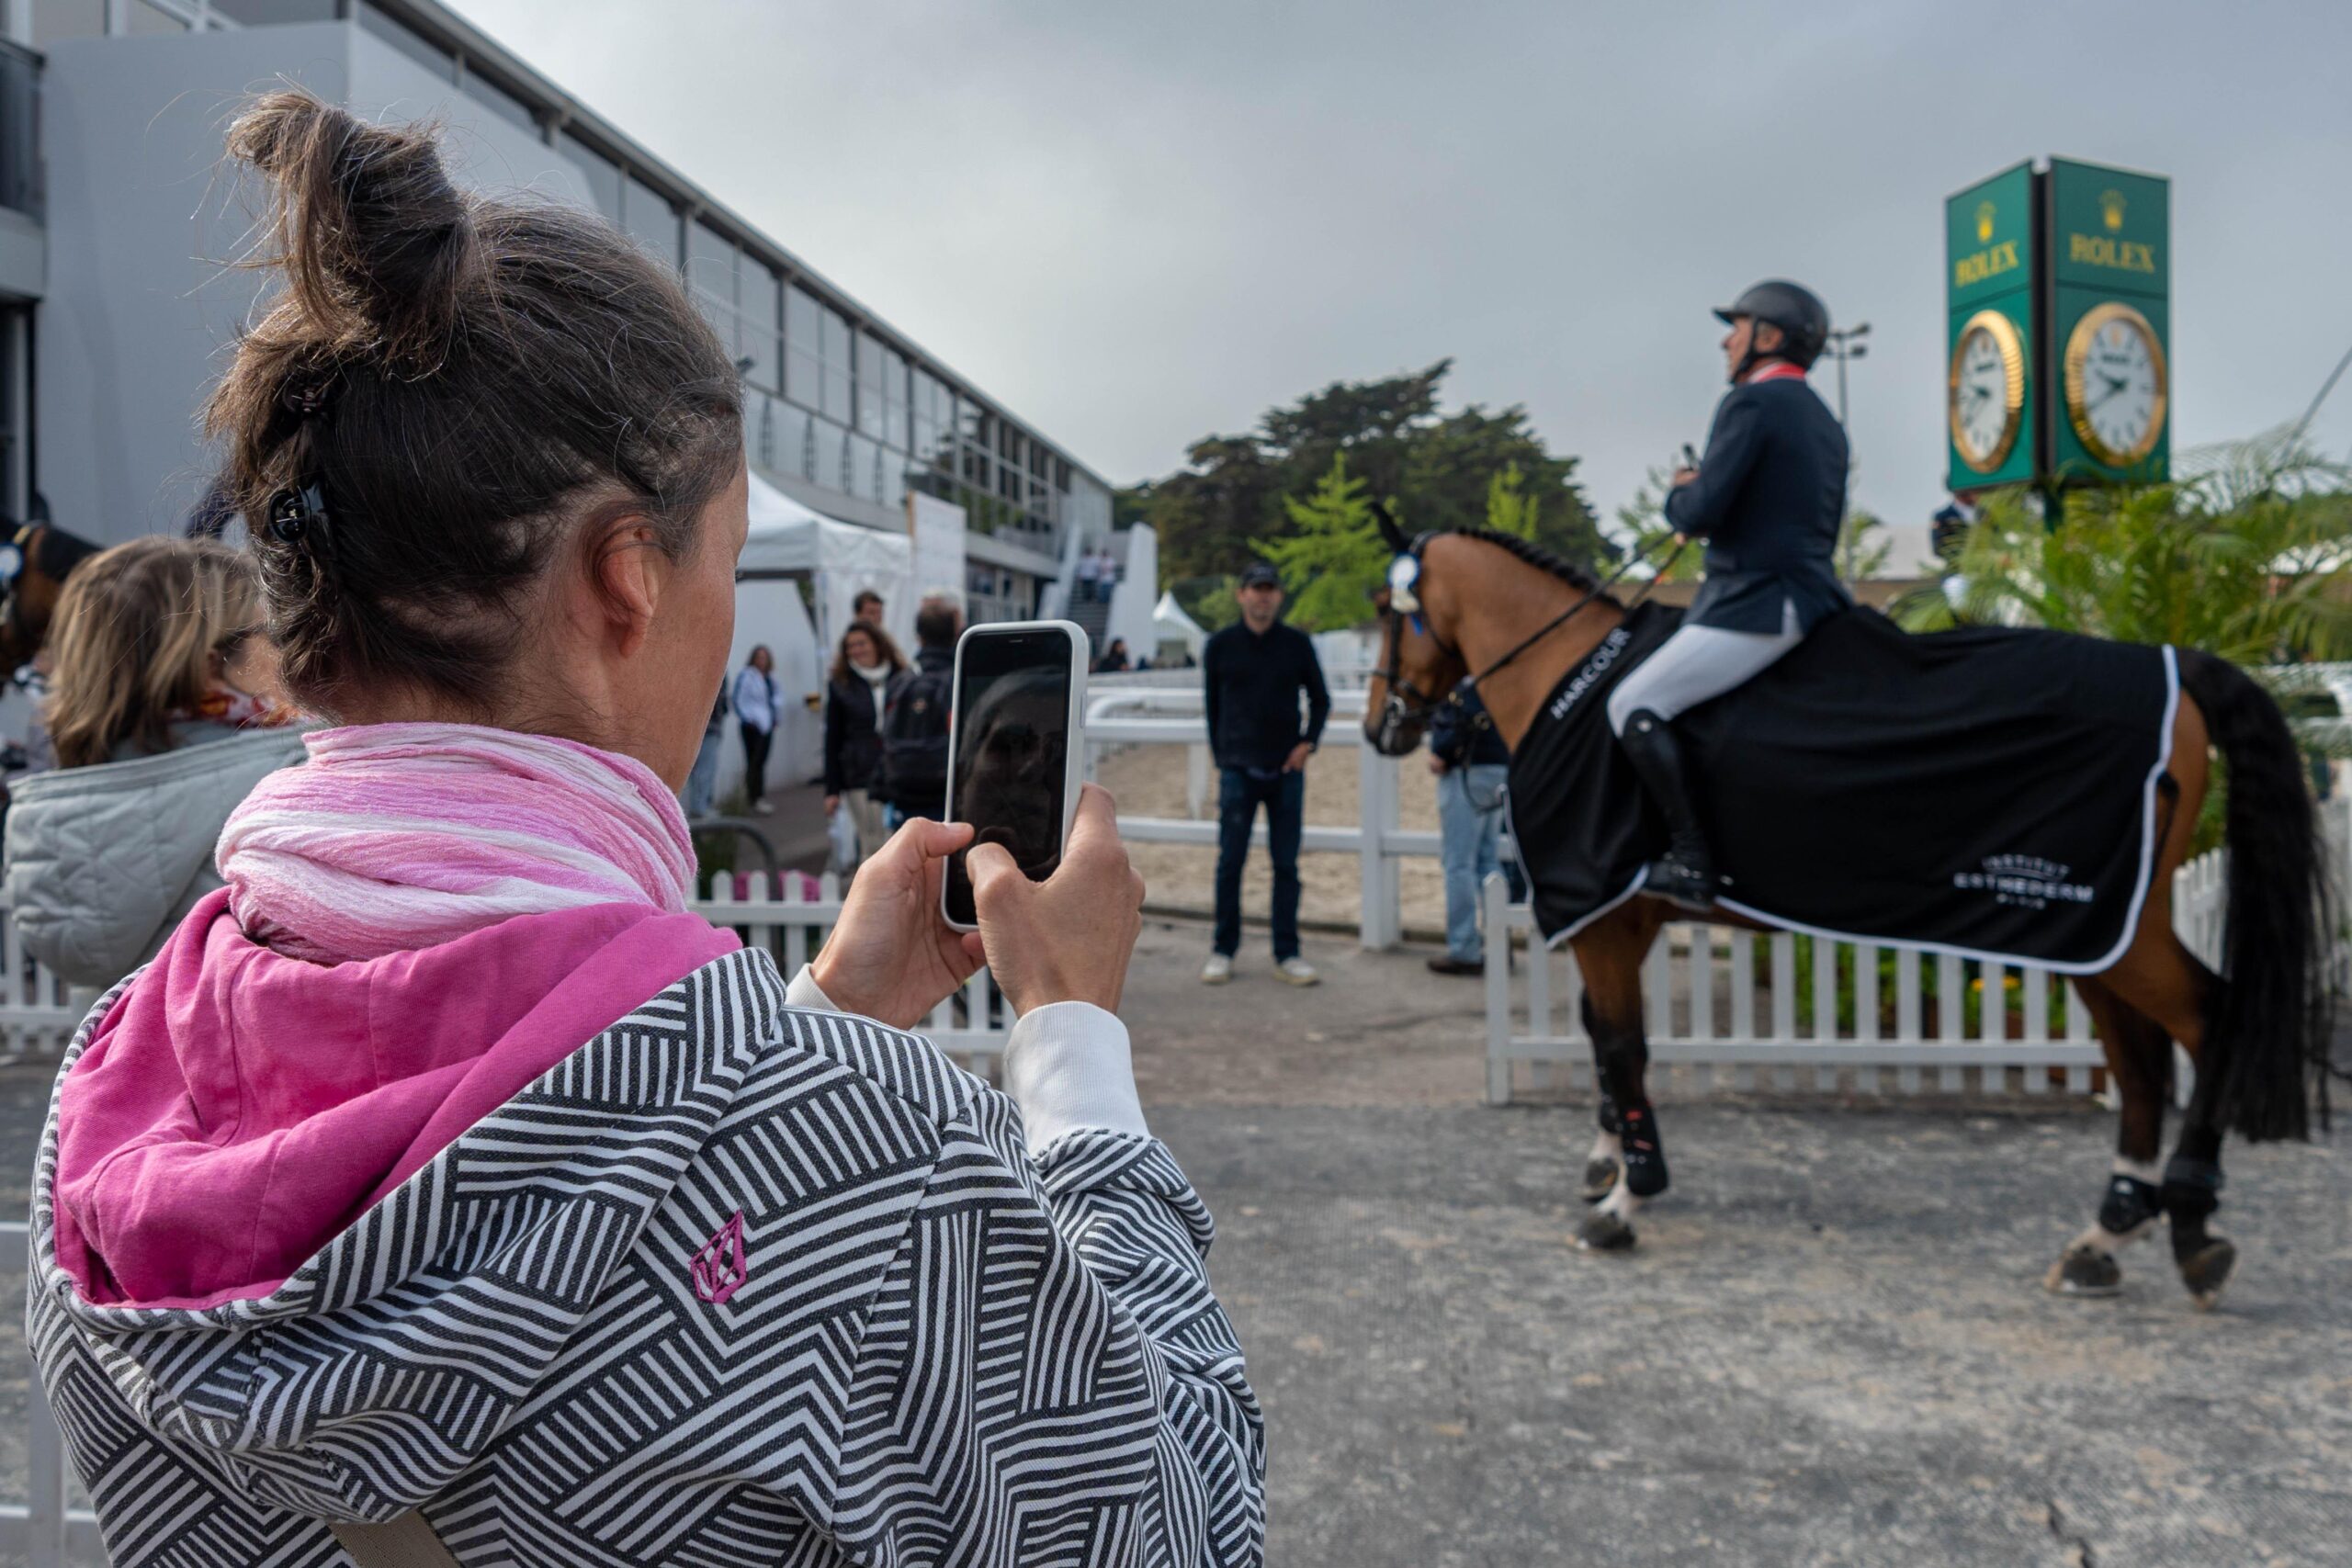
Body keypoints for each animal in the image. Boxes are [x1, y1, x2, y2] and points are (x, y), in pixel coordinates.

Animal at [1363, 526, 2333, 1316]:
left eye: (1386, 613)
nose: (1380, 727)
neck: (1572, 677)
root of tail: (2175, 666)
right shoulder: (1628, 914)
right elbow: (1603, 1036)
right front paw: (1607, 1159)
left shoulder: (1603, 915)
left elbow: (1624, 1046)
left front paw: (1626, 1198)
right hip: (2095, 935)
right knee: (2139, 1062)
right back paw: (2106, 1238)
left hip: (2103, 929)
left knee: (2209, 1019)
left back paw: (2192, 1230)